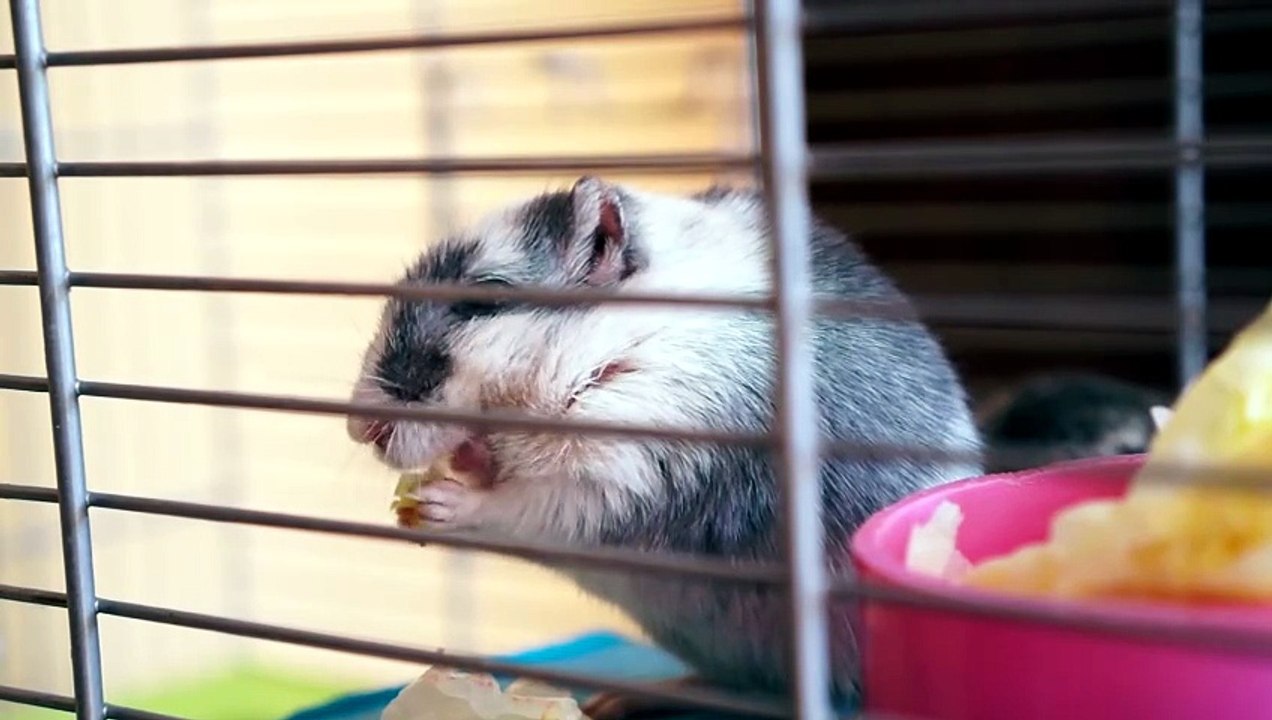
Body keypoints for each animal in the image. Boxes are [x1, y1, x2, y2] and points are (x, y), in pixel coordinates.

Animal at [347, 177, 983, 717]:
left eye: (482, 299)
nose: (358, 429)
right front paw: (461, 465)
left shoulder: (634, 467)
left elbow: (530, 509)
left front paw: (440, 503)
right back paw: (632, 696)